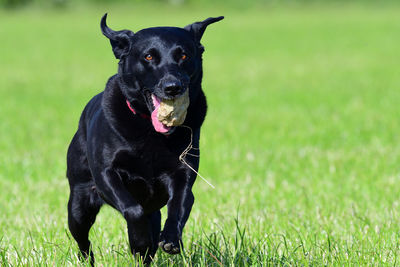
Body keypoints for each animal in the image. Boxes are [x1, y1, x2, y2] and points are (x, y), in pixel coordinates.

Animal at [65, 13, 222, 264]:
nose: (172, 87)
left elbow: (179, 205)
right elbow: (132, 209)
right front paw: (139, 241)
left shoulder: (183, 174)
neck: (150, 130)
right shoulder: (106, 175)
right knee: (83, 241)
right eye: (148, 56)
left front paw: (170, 239)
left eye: (184, 55)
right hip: (79, 204)